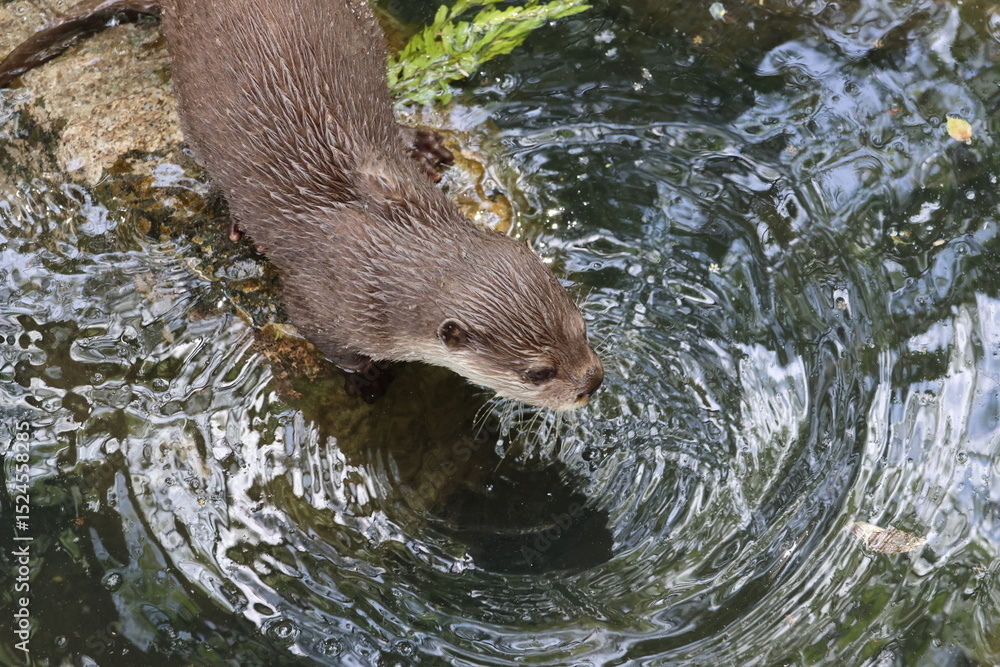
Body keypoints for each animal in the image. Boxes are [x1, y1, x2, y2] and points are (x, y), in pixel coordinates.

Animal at [0, 0, 604, 411]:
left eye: (581, 327)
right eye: (539, 372)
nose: (593, 383)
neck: (389, 239)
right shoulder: (322, 303)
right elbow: (330, 343)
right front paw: (367, 381)